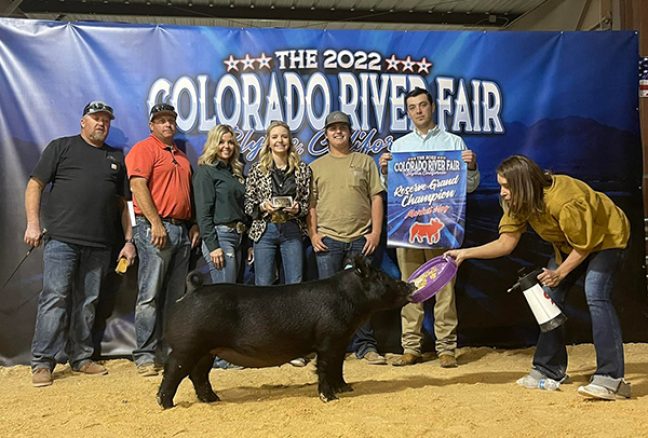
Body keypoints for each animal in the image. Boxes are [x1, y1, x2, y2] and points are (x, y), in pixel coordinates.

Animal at [155, 255, 412, 408]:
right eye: (381, 277)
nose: (408, 284)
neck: (350, 300)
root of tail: (192, 291)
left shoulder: (341, 341)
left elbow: (338, 367)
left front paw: (346, 388)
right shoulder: (327, 340)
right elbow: (325, 368)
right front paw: (330, 398)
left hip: (207, 350)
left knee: (198, 375)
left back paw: (213, 400)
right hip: (187, 345)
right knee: (173, 372)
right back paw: (166, 405)